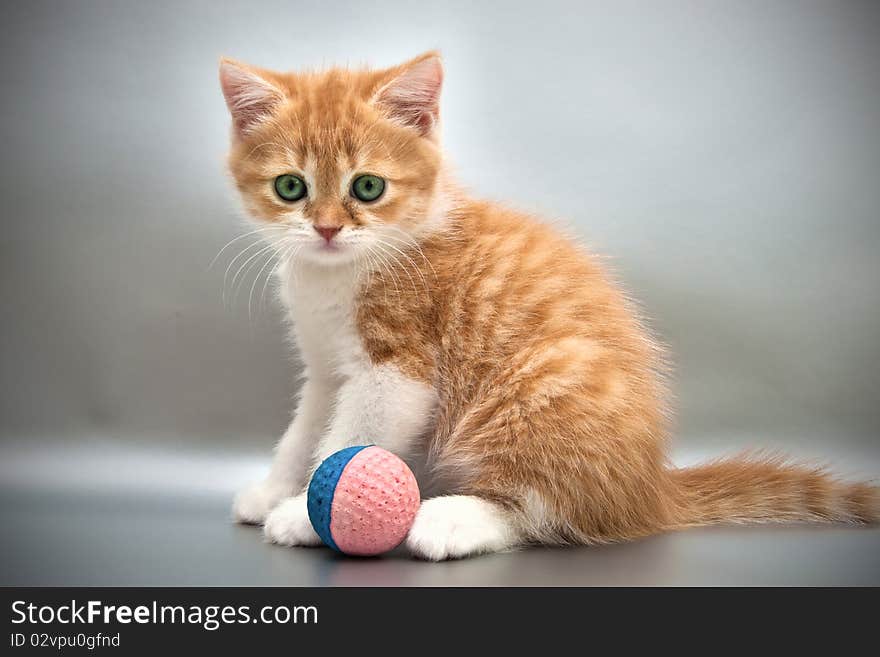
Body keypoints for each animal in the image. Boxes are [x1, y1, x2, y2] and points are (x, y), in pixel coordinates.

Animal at [218, 50, 872, 560]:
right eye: (290, 187)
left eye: (368, 187)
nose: (327, 229)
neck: (336, 274)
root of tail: (652, 490)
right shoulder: (326, 367)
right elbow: (305, 429)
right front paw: (274, 490)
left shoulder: (398, 366)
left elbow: (353, 435)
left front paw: (306, 516)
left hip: (540, 384)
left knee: (549, 512)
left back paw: (452, 520)